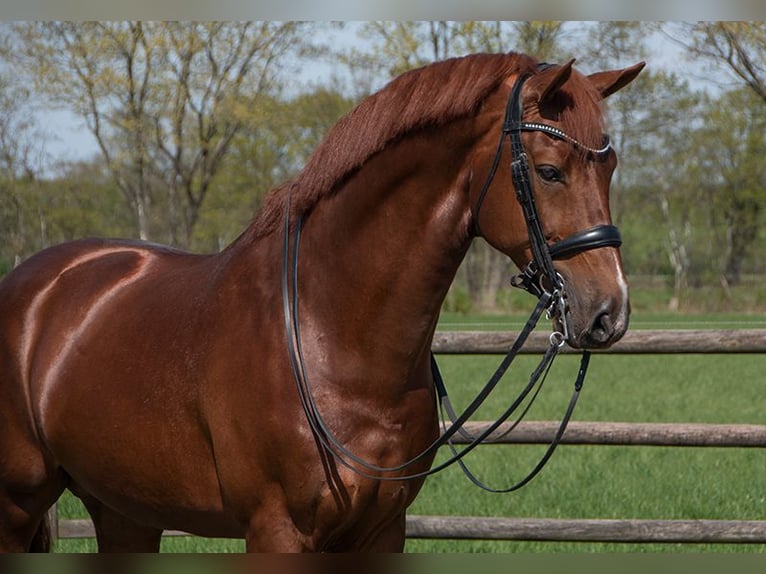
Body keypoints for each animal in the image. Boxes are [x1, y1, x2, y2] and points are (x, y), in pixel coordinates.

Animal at [0, 52, 643, 552]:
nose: (608, 313)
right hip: (18, 504)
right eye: (549, 172)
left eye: (610, 167)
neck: (329, 333)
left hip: (124, 510)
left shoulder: (380, 532)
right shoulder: (278, 531)